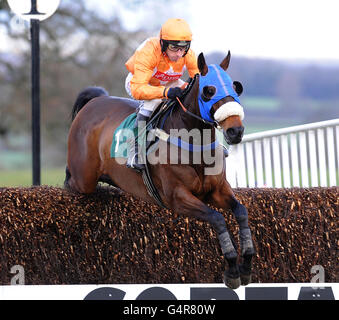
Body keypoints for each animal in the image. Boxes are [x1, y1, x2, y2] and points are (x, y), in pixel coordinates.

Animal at [64, 51, 255, 288]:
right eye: (208, 91)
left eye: (236, 88)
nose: (235, 131)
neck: (193, 143)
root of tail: (94, 102)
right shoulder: (177, 197)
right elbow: (217, 218)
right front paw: (232, 269)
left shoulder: (217, 190)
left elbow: (241, 211)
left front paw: (246, 265)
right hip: (83, 179)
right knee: (71, 181)